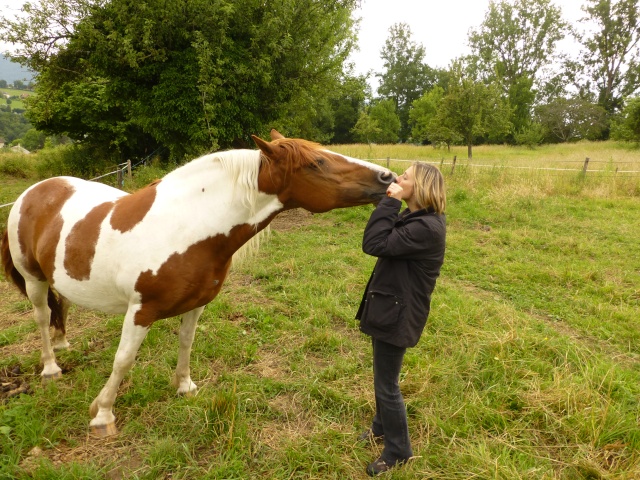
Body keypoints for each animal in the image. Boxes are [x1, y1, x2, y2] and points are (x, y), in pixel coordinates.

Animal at [0, 129, 396, 436]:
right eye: (317, 163)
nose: (388, 178)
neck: (188, 227)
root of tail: (33, 192)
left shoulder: (197, 304)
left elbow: (186, 343)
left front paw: (185, 387)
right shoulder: (141, 310)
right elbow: (123, 360)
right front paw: (103, 414)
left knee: (61, 304)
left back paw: (63, 343)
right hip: (33, 279)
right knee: (41, 316)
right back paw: (51, 367)